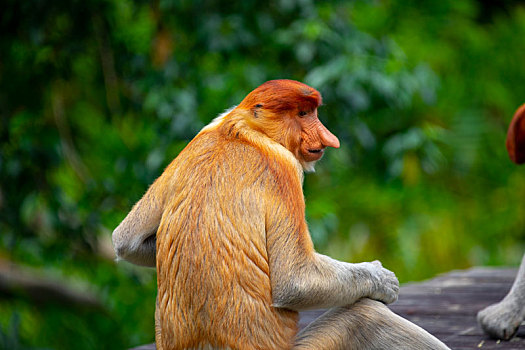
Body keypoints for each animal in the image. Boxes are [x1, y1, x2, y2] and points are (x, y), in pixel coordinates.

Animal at [112, 79, 448, 350]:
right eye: (302, 114)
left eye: (312, 112)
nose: (328, 138)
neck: (241, 131)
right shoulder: (285, 169)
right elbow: (295, 281)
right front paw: (381, 278)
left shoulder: (203, 133)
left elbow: (125, 240)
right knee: (366, 315)